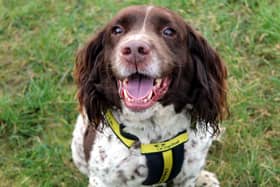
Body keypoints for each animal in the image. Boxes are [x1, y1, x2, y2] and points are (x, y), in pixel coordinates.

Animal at [71, 5, 226, 186]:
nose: (134, 49)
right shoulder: (102, 179)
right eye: (117, 30)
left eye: (169, 31)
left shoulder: (186, 176)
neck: (153, 130)